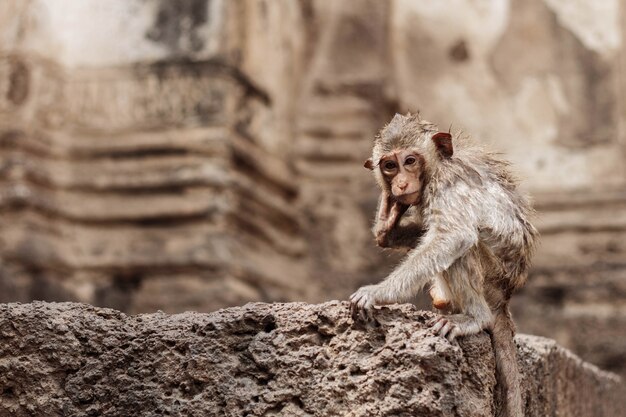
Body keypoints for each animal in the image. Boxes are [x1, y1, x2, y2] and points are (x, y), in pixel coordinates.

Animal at [352, 113, 536, 416]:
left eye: (410, 161)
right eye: (390, 166)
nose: (401, 184)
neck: (436, 167)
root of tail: (504, 298)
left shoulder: (448, 183)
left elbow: (453, 237)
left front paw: (378, 293)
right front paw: (386, 223)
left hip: (492, 278)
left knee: (464, 247)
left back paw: (475, 317)